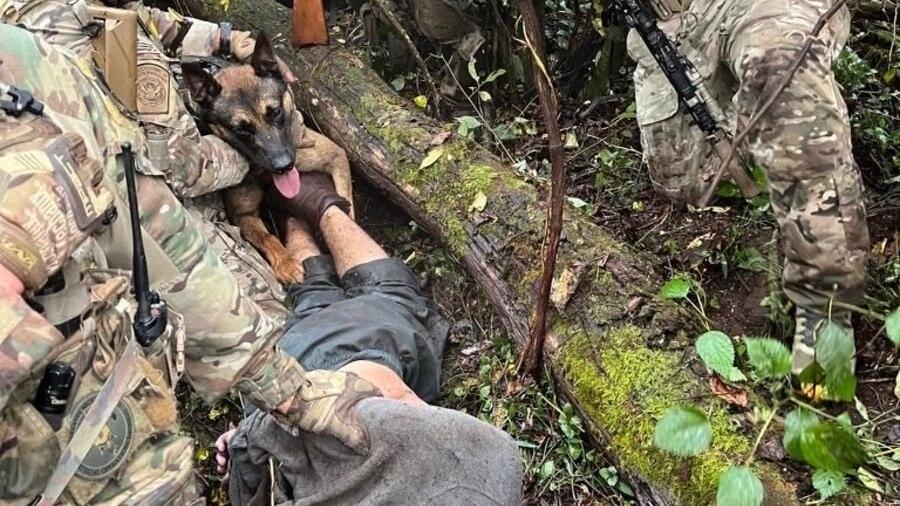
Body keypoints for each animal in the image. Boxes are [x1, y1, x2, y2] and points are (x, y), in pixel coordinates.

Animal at [183, 33, 352, 282]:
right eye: (242, 129)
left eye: (275, 112)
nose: (283, 166)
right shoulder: (243, 216)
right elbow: (267, 237)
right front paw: (286, 262)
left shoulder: (337, 156)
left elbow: (348, 205)